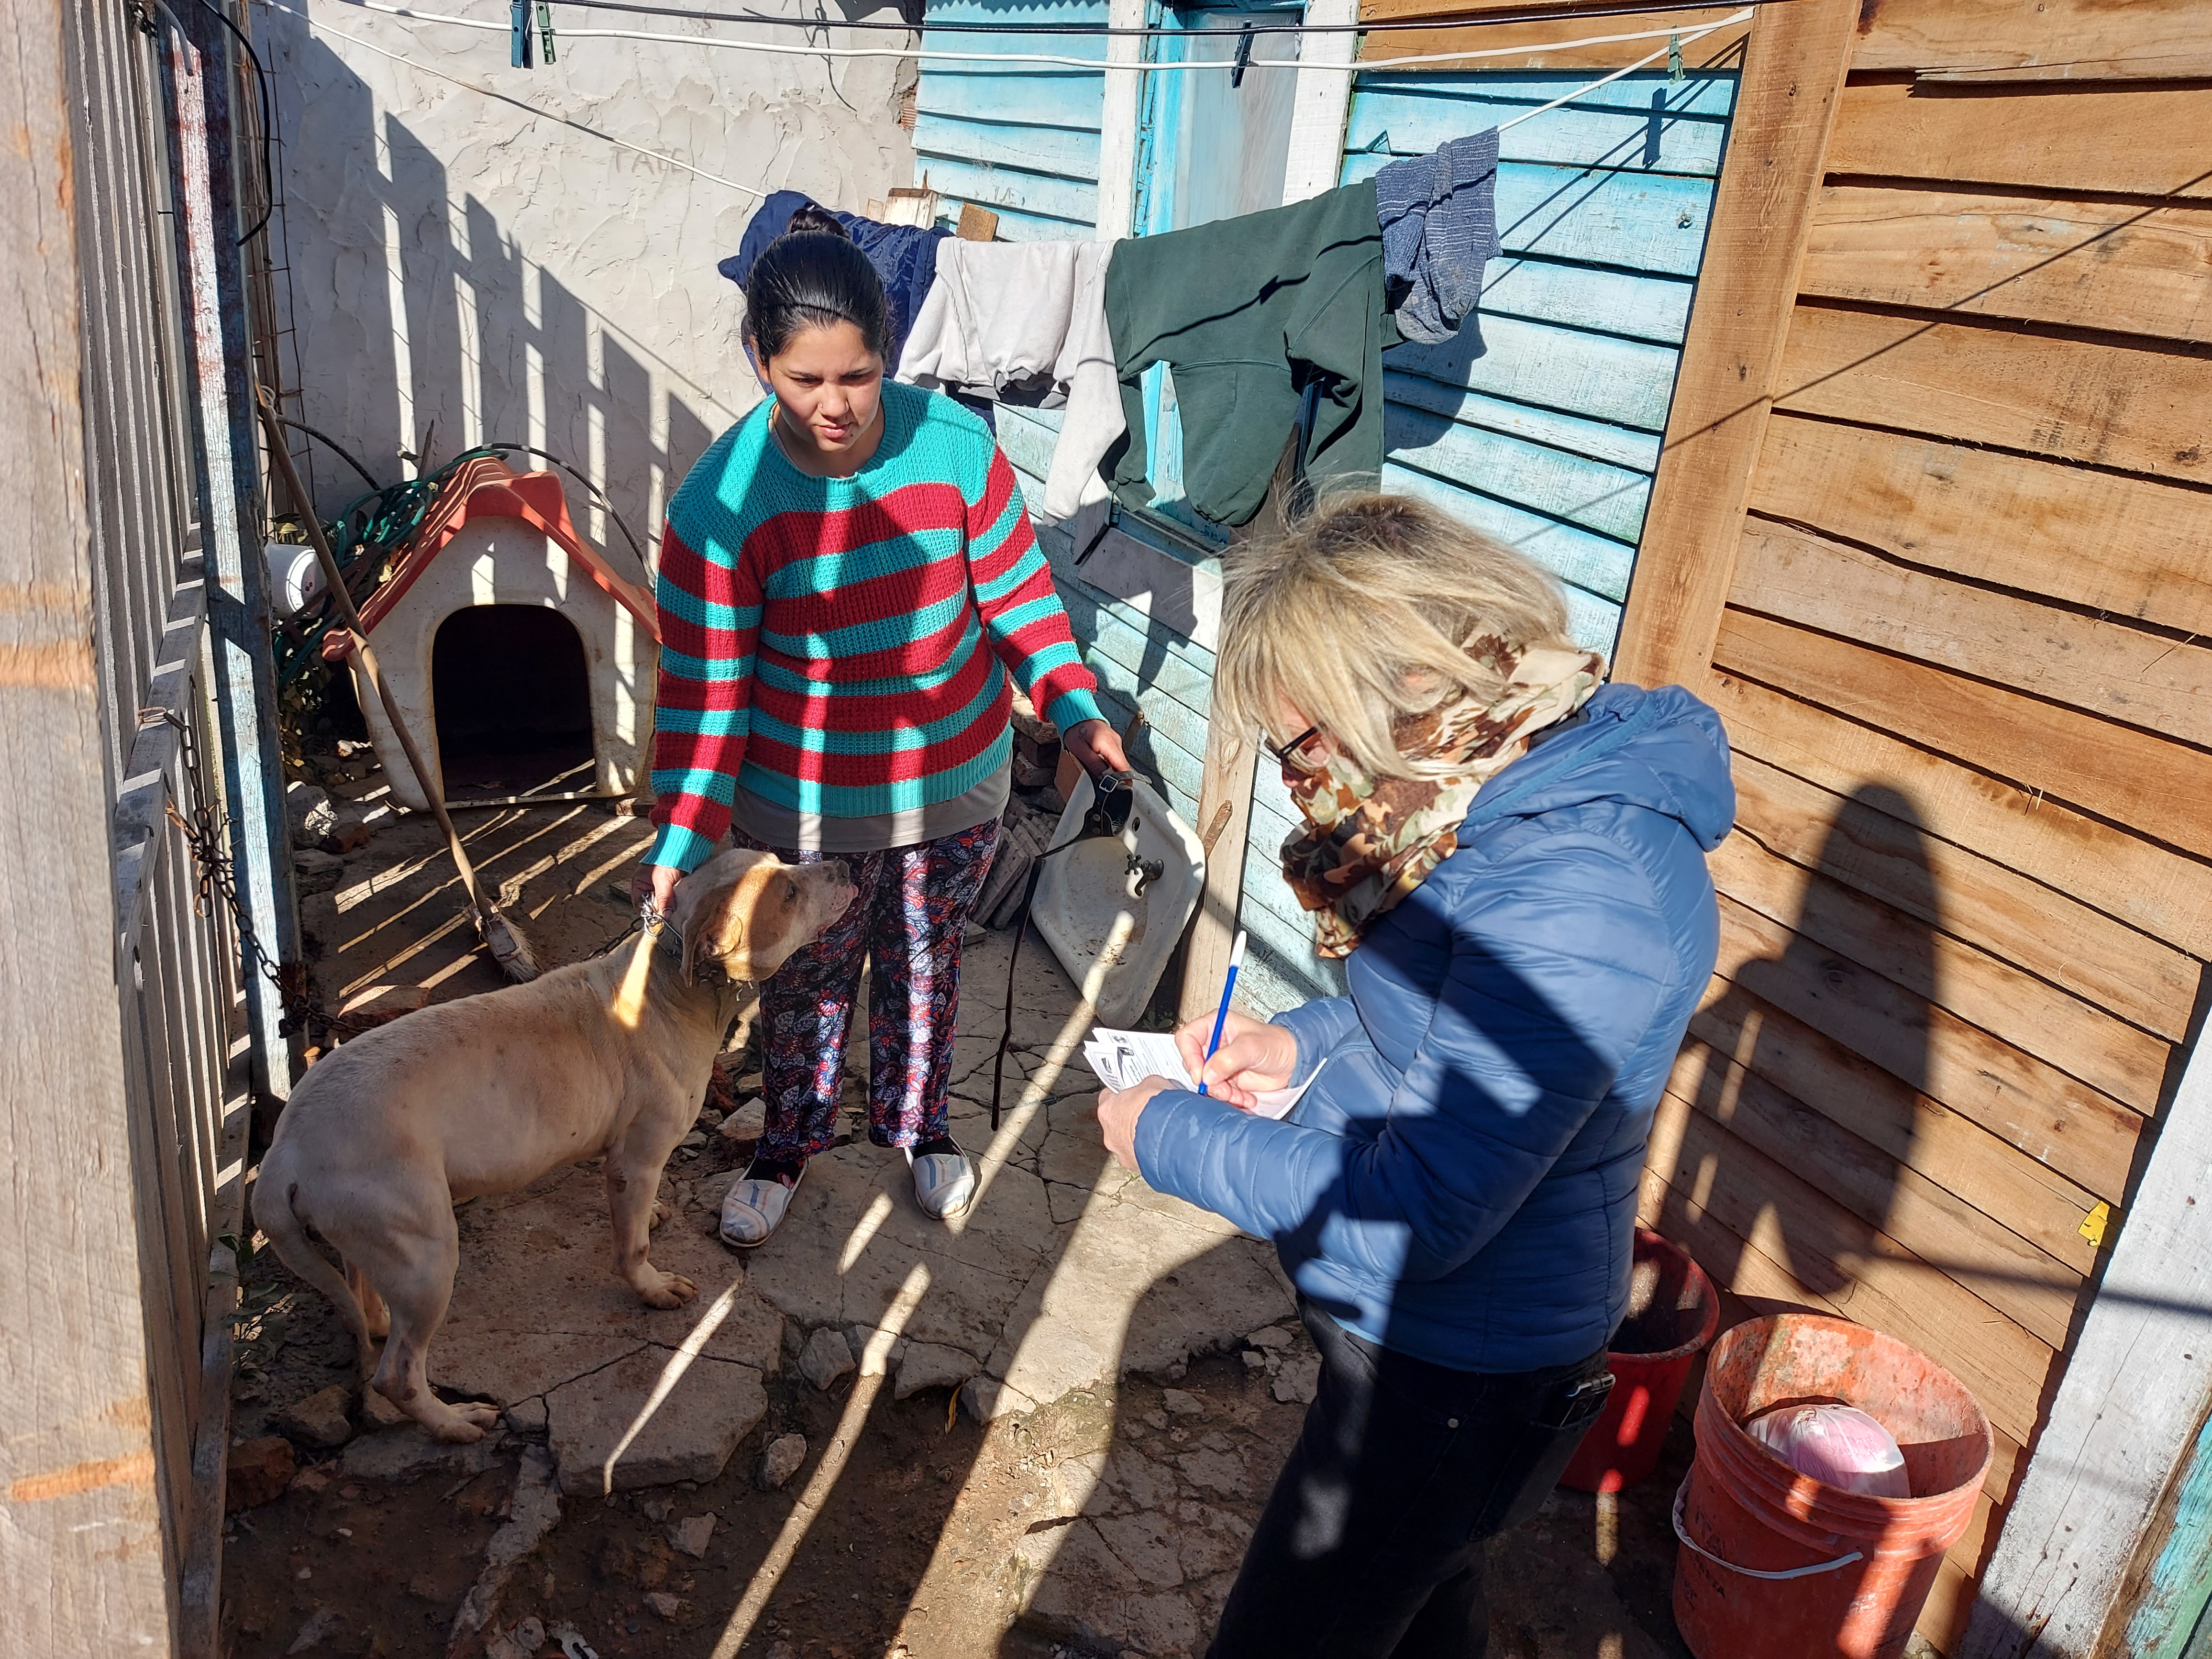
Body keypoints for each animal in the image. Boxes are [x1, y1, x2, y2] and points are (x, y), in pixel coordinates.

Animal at [249, 858, 853, 1442]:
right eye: (788, 893)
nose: (845, 868)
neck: (672, 984)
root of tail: (285, 1148)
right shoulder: (636, 1161)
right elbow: (632, 1249)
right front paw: (653, 1290)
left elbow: (638, 1220)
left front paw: (654, 1216)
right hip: (427, 1258)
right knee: (397, 1375)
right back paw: (454, 1424)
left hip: (371, 1237)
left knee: (363, 1292)